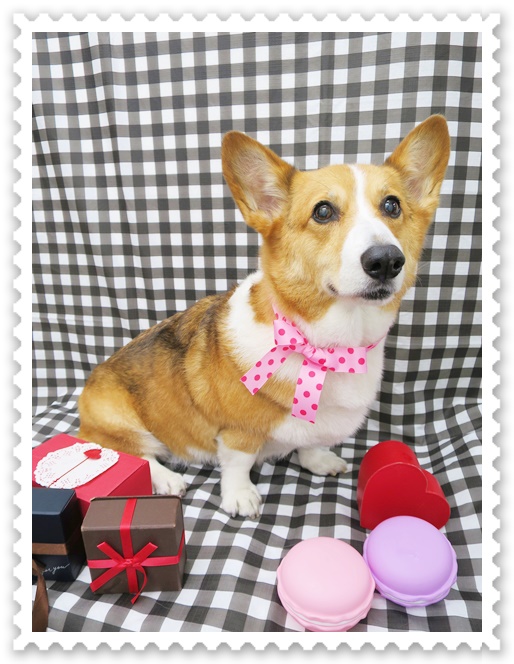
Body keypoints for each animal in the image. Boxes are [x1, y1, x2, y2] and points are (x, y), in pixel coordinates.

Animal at [78, 115, 450, 518]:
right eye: (323, 211)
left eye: (392, 205)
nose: (386, 260)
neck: (325, 348)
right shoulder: (237, 431)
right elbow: (238, 462)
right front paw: (241, 497)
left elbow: (311, 443)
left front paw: (319, 460)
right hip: (118, 421)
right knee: (135, 453)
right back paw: (166, 479)